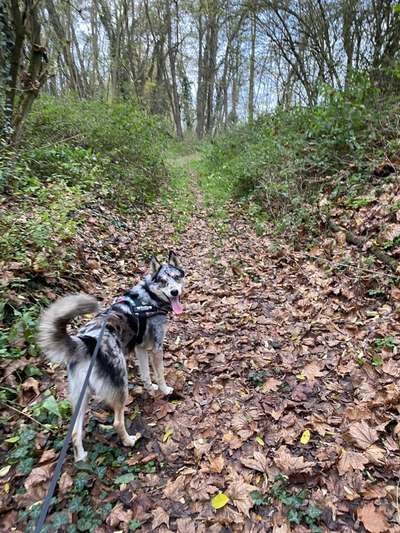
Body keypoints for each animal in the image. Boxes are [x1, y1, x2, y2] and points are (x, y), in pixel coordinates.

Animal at [38, 251, 185, 460]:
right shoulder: (156, 348)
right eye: (163, 282)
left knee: (74, 430)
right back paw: (130, 440)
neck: (149, 297)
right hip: (121, 385)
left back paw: (81, 457)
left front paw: (150, 388)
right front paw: (165, 390)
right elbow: (159, 374)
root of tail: (86, 341)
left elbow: (146, 375)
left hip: (81, 396)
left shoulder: (140, 348)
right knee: (117, 422)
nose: (174, 292)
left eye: (176, 277)